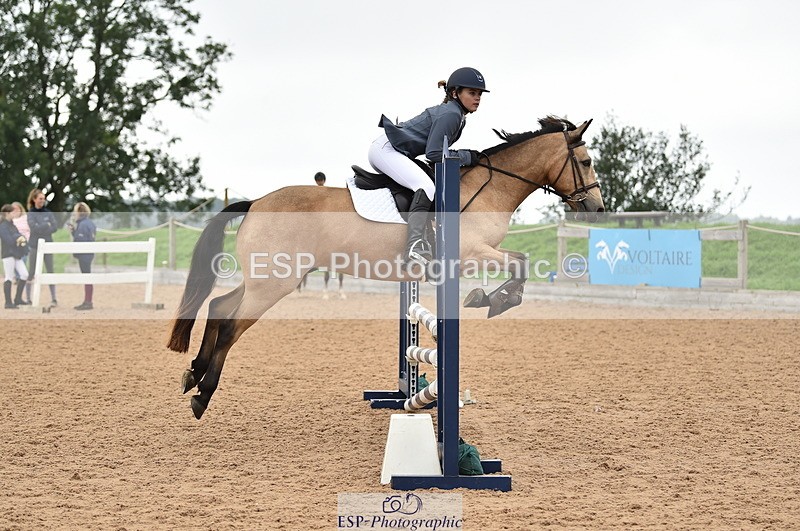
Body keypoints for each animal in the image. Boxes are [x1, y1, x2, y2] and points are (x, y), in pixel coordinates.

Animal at [167, 116, 604, 419]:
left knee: (219, 306)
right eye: (584, 161)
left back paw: (193, 373)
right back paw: (203, 394)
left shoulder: (480, 254)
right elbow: (521, 265)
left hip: (264, 279)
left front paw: (488, 298)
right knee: (230, 325)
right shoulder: (471, 254)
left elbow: (520, 263)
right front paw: (492, 300)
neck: (490, 188)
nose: (597, 209)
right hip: (274, 284)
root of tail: (256, 202)